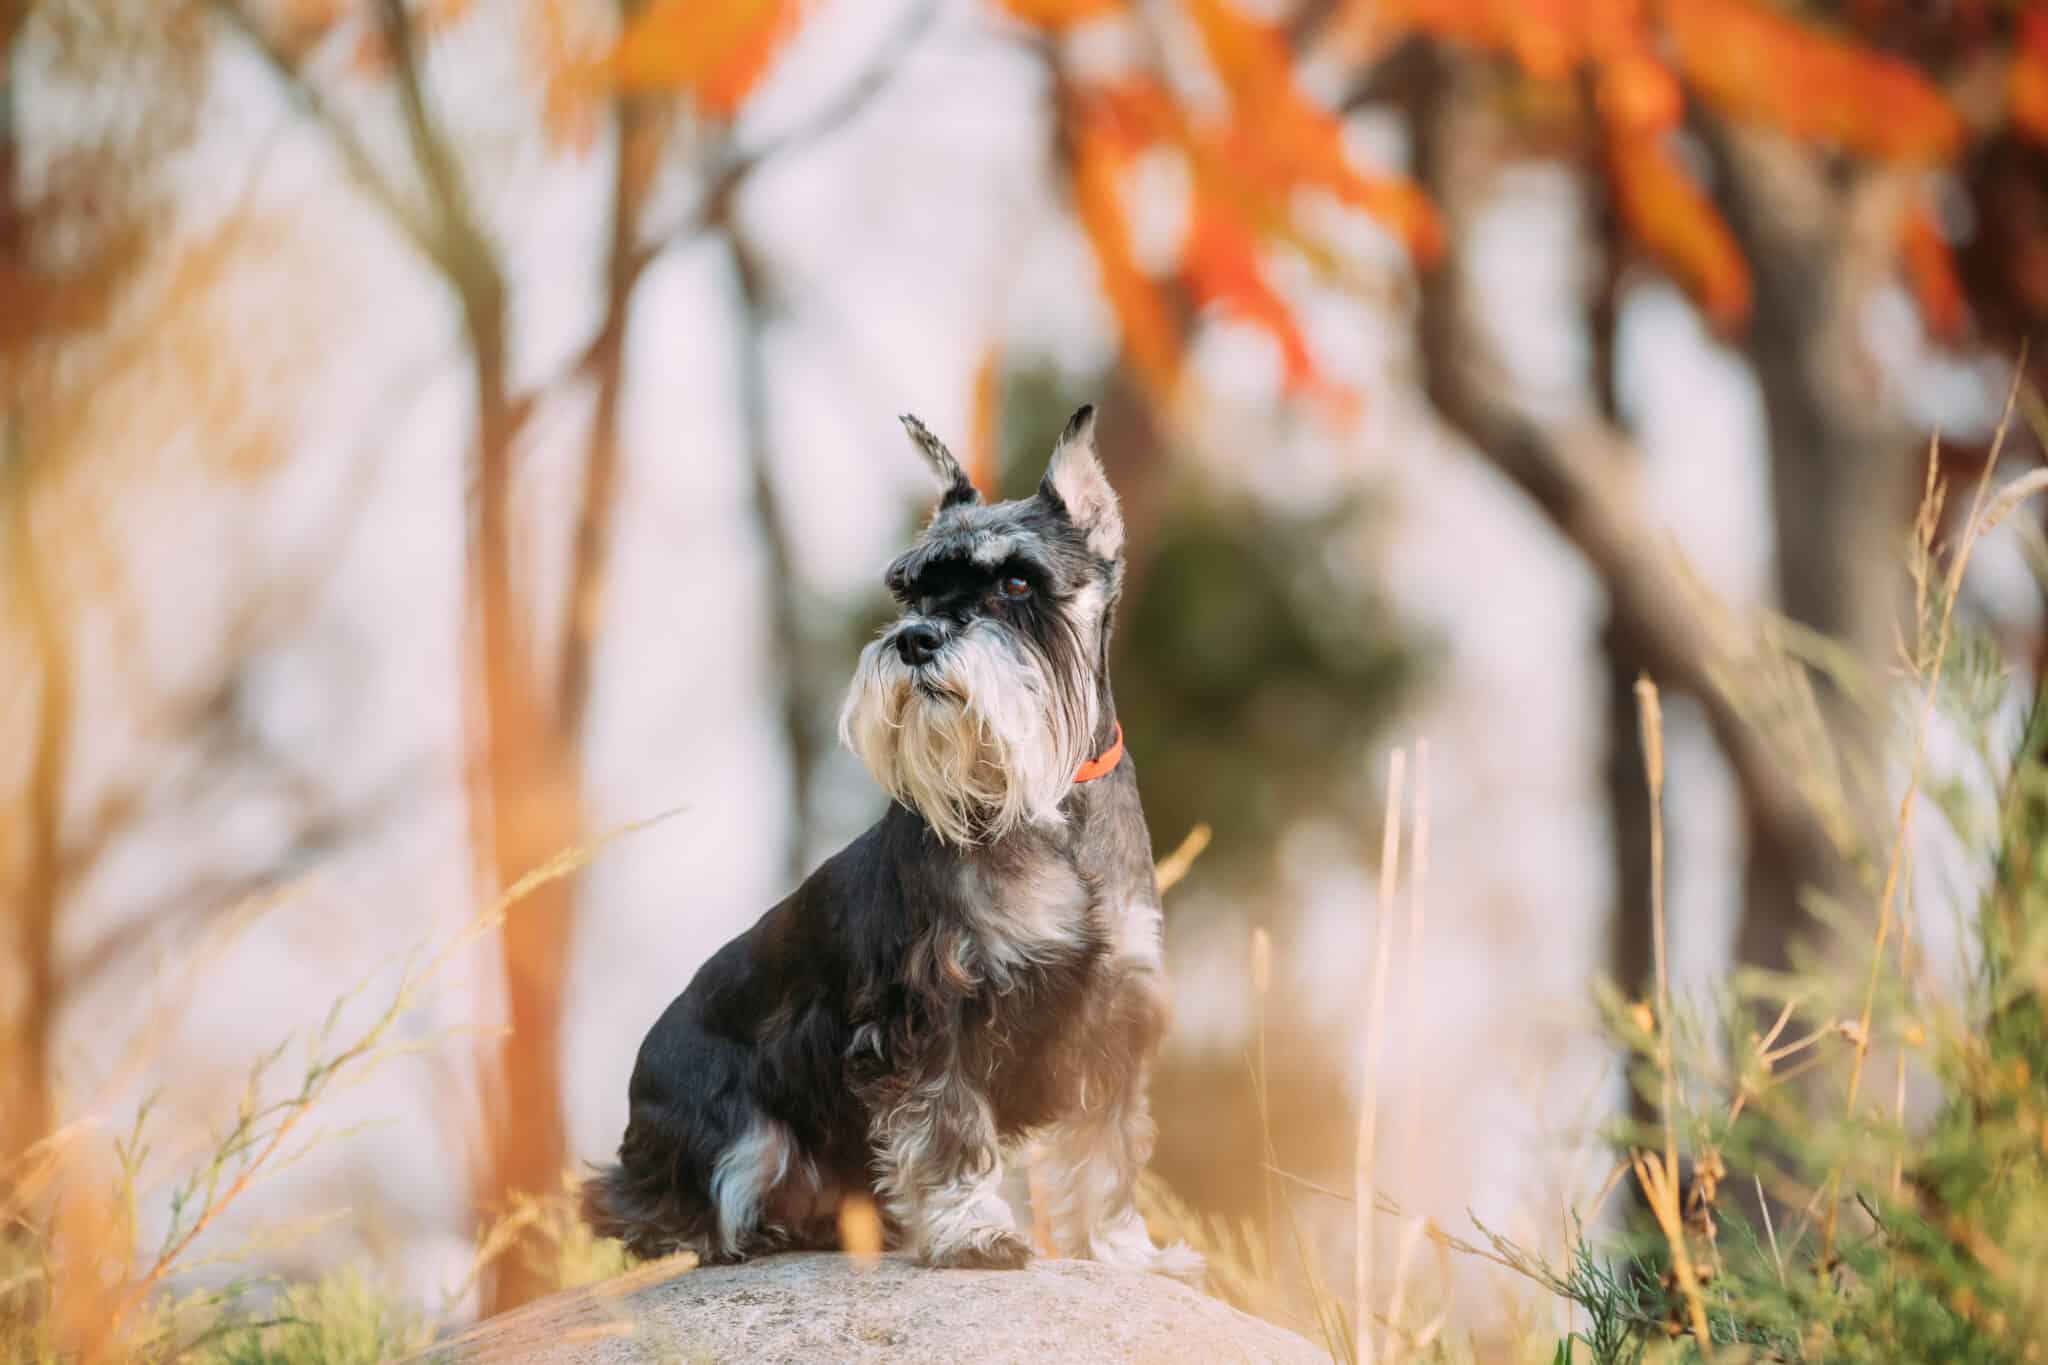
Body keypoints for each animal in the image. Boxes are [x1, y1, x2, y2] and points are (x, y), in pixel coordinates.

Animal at [581, 405, 1196, 1285]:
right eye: (913, 589)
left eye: (1017, 582)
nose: (915, 640)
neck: (1048, 808)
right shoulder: (928, 1010)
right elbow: (950, 1129)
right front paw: (975, 1232)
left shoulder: (1117, 1012)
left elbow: (1108, 1151)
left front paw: (1125, 1251)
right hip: (736, 1133)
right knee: (690, 1205)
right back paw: (759, 1229)